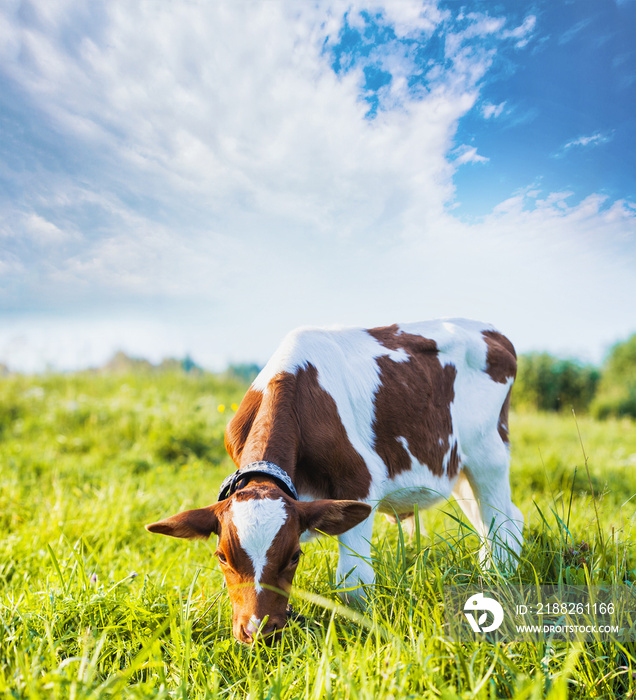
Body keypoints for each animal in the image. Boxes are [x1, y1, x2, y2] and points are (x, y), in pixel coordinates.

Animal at [147, 320, 524, 644]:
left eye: (294, 556)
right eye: (222, 556)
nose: (258, 631)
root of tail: (492, 332)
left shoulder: (361, 483)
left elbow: (353, 581)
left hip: (488, 453)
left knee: (499, 522)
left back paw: (496, 577)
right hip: (458, 467)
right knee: (502, 519)